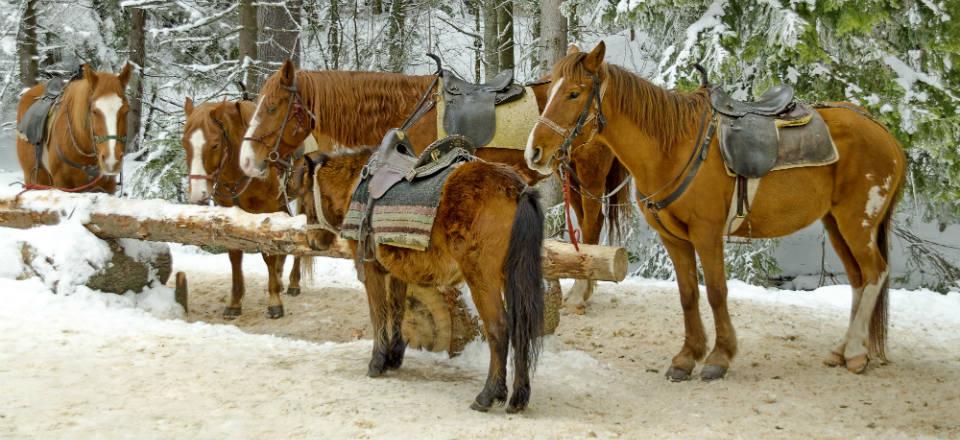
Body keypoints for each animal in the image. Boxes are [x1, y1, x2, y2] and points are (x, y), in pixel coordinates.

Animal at [178, 98, 316, 320]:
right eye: (185, 143)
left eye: (215, 144)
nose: (198, 194)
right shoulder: (230, 213)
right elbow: (235, 255)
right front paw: (234, 303)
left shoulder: (267, 210)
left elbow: (268, 255)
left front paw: (274, 302)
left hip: (303, 199)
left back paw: (293, 282)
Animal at [234, 61, 632, 310]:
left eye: (273, 107)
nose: (246, 160)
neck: (408, 110)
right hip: (571, 177)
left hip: (589, 174)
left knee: (592, 225)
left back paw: (582, 292)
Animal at [306, 147, 548, 412]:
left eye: (304, 195)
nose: (312, 242)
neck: (357, 184)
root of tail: (518, 189)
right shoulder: (398, 271)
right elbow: (397, 310)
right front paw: (393, 357)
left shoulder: (371, 269)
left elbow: (378, 312)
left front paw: (377, 362)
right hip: (513, 277)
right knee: (522, 327)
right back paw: (518, 397)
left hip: (482, 279)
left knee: (499, 329)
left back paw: (488, 394)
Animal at [524, 43, 908, 380]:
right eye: (550, 89)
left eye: (574, 93)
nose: (534, 151)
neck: (671, 148)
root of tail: (883, 132)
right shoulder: (674, 239)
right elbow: (688, 294)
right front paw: (686, 357)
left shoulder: (706, 234)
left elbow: (716, 292)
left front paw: (719, 358)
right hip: (836, 223)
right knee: (858, 279)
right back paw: (843, 350)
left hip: (857, 222)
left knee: (874, 273)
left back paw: (856, 352)